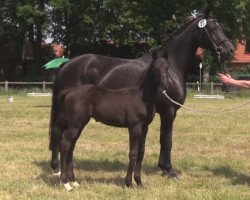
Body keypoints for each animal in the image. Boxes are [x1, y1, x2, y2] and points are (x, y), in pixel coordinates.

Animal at [48, 6, 234, 188]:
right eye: (213, 27)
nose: (229, 50)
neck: (173, 68)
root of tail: (66, 64)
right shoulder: (168, 110)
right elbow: (167, 140)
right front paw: (168, 170)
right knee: (59, 135)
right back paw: (58, 171)